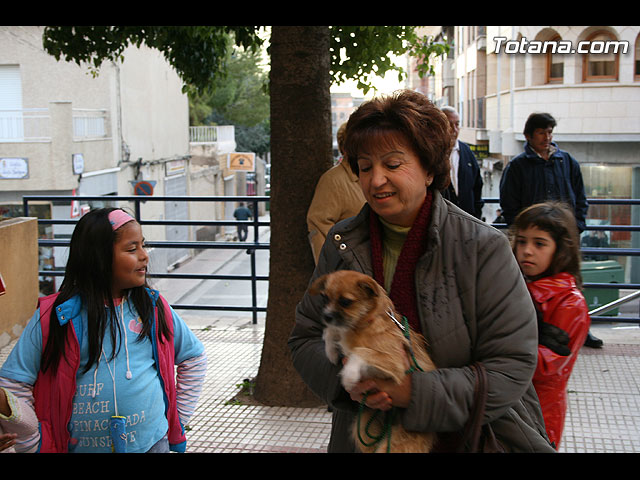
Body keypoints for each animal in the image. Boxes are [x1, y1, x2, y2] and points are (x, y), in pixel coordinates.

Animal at [308, 270, 438, 454]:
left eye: (345, 302)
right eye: (324, 298)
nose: (326, 316)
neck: (362, 324)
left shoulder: (395, 362)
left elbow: (359, 352)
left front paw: (349, 375)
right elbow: (330, 330)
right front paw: (331, 350)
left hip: (395, 445)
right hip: (363, 428)